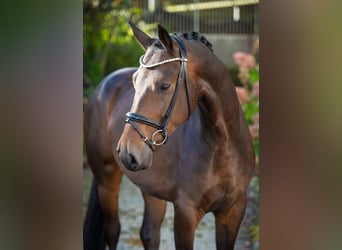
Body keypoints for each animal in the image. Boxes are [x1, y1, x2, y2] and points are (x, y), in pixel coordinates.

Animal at [83, 22, 254, 250]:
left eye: (164, 86)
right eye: (134, 82)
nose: (127, 151)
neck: (223, 147)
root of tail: (104, 85)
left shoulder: (233, 212)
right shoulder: (186, 213)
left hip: (150, 186)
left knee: (149, 233)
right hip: (106, 180)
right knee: (113, 230)